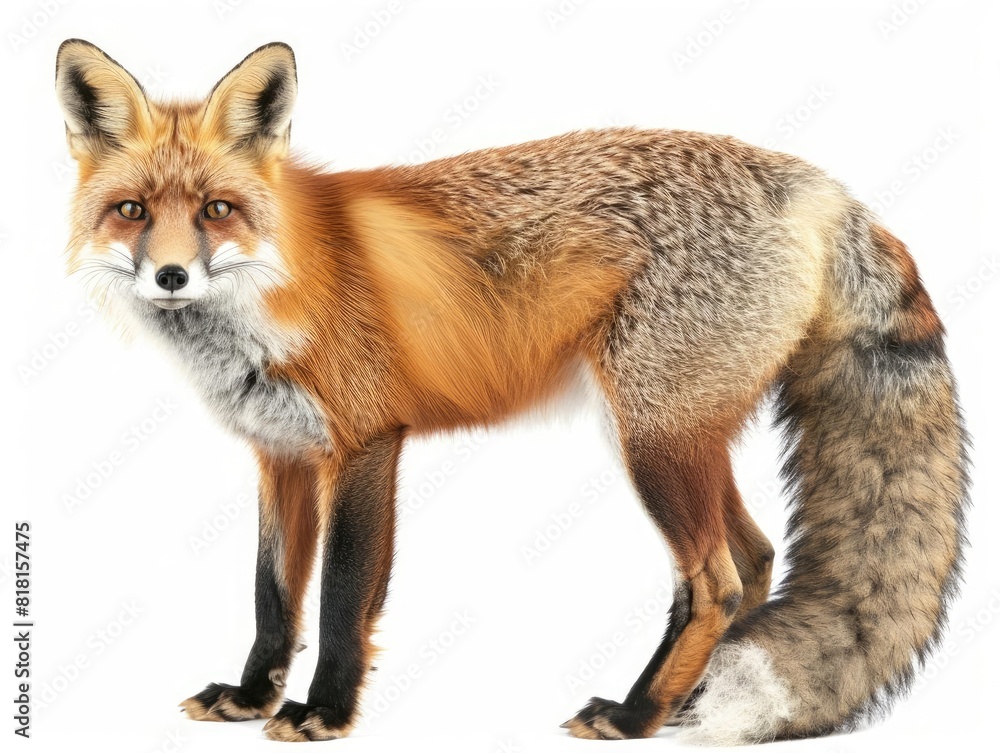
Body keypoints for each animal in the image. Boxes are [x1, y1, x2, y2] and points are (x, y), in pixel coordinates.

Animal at [55, 39, 969, 744]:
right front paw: (250, 697)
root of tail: (815, 183)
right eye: (132, 211)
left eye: (217, 209)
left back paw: (635, 714)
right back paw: (687, 701)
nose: (171, 276)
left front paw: (324, 712)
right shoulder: (279, 452)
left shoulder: (366, 443)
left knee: (717, 580)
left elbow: (344, 596)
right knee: (755, 555)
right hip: (683, 432)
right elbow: (272, 593)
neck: (272, 295)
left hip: (652, 437)